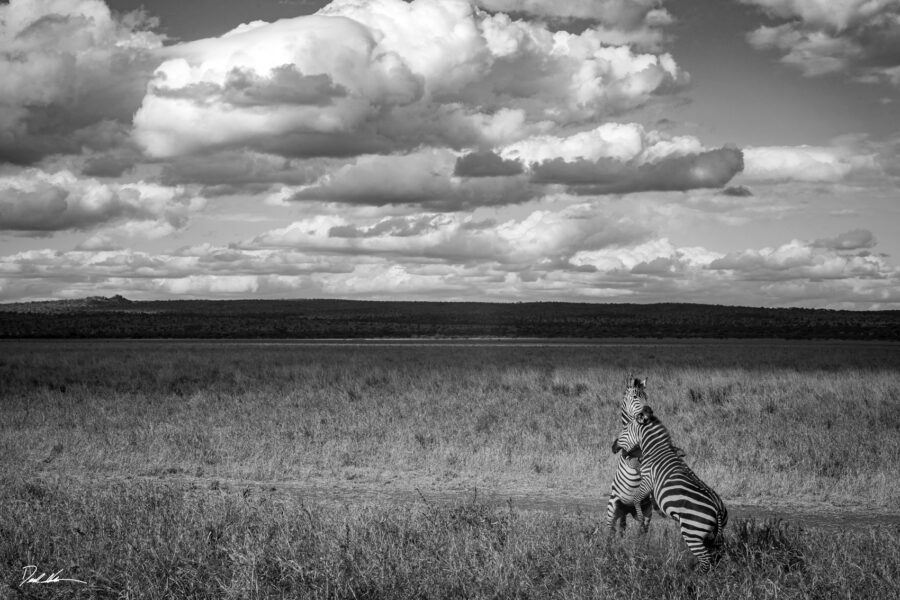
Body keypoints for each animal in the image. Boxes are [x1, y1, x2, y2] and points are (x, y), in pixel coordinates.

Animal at [608, 406, 728, 576]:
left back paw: (695, 578)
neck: (656, 449)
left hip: (692, 533)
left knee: (706, 561)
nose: (613, 447)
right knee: (715, 557)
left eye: (624, 429)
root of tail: (717, 508)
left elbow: (637, 498)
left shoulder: (647, 480)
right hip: (712, 535)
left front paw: (640, 519)